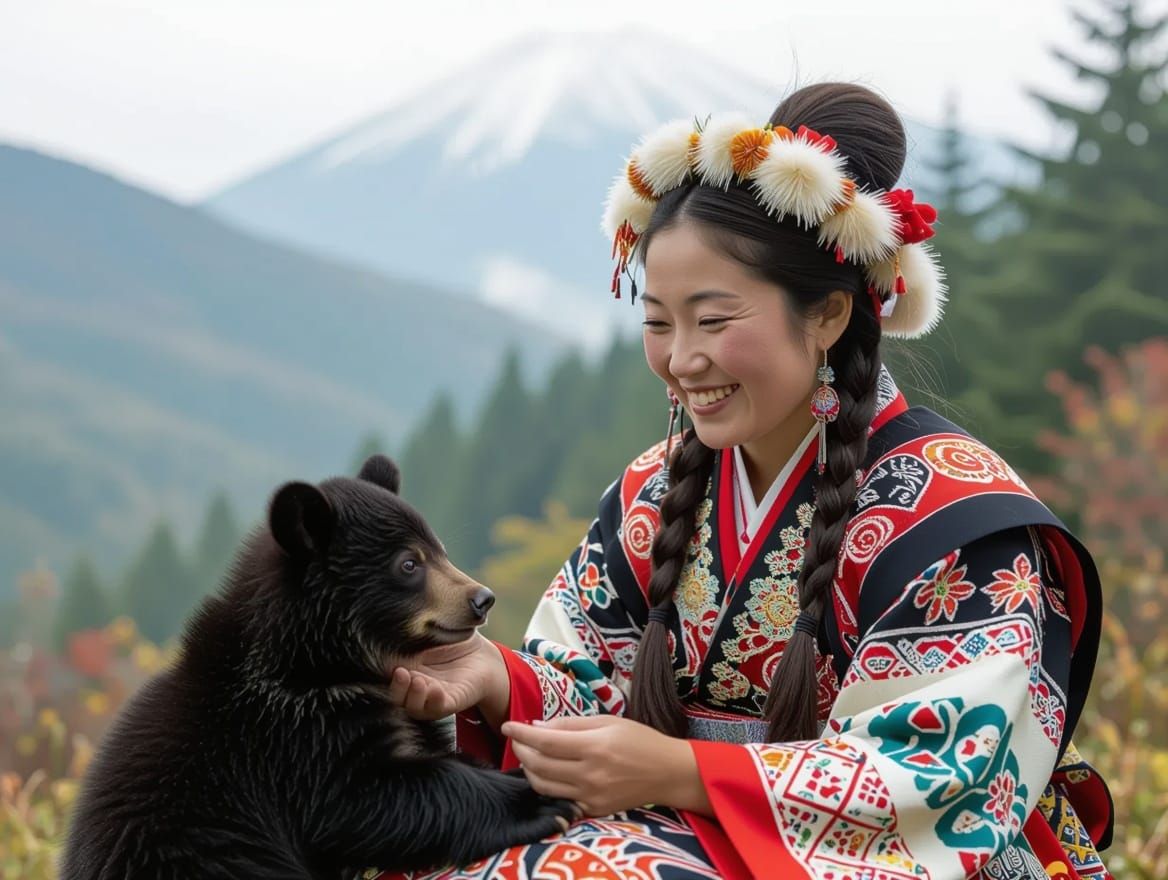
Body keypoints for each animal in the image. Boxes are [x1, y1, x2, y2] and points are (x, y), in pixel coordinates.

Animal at [61, 455, 576, 879]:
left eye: (440, 550)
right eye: (409, 564)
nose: (481, 599)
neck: (317, 662)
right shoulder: (292, 735)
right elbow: (364, 797)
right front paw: (540, 797)